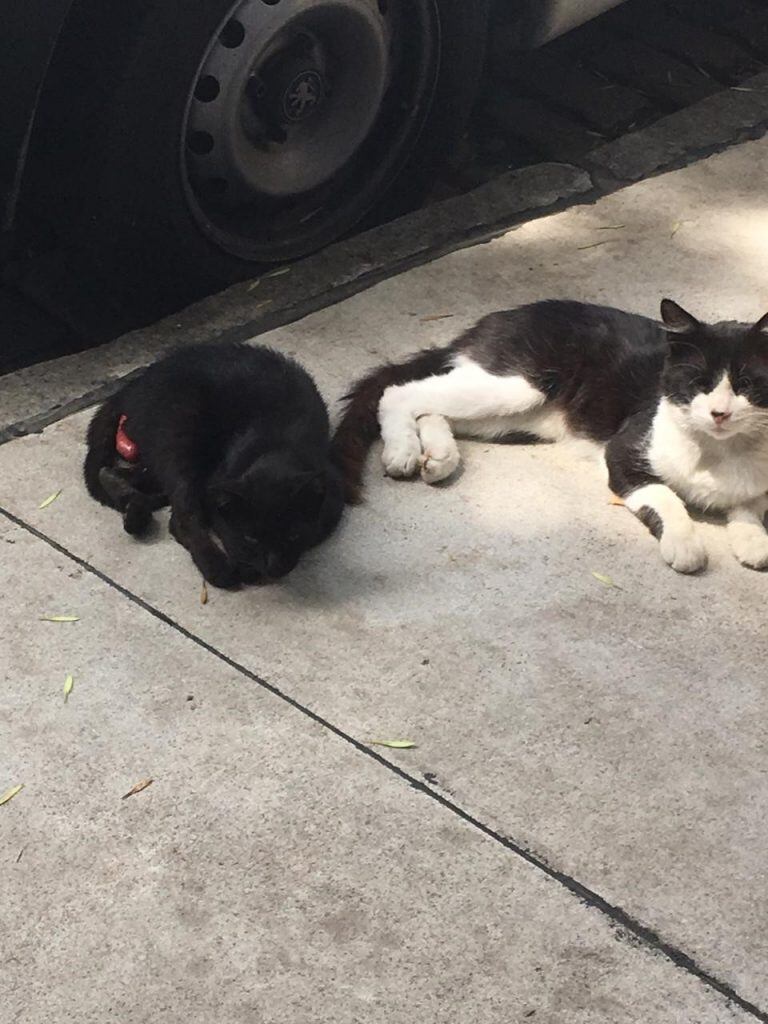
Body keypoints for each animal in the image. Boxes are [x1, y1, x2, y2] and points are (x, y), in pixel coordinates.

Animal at [83, 342, 342, 589]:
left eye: (293, 535)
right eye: (251, 538)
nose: (274, 566)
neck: (277, 445)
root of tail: (130, 389)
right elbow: (224, 528)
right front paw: (243, 565)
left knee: (123, 474)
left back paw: (132, 506)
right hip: (181, 438)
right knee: (180, 518)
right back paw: (216, 567)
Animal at [335, 299, 768, 573]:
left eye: (746, 385)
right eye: (698, 383)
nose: (719, 413)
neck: (718, 451)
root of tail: (493, 321)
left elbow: (750, 503)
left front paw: (752, 538)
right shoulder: (623, 450)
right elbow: (663, 494)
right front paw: (684, 543)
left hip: (519, 414)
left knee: (434, 407)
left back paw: (439, 457)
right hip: (517, 385)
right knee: (401, 392)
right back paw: (403, 451)